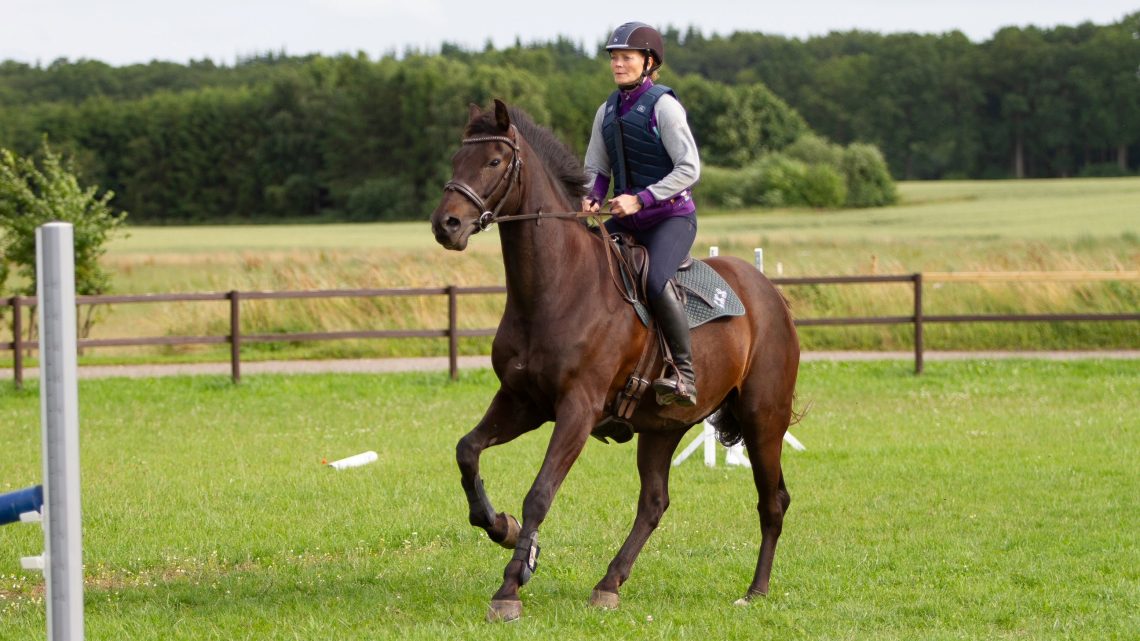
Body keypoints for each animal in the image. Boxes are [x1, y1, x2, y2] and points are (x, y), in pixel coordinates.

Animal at [428, 98, 802, 620]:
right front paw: (501, 527)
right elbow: (467, 451)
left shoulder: (577, 410)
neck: (556, 288)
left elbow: (540, 493)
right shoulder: (522, 402)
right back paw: (609, 583)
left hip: (763, 419)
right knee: (654, 503)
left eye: (494, 161)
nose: (447, 225)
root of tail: (770, 294)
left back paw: (755, 591)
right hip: (663, 429)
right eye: (457, 160)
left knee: (772, 502)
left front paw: (511, 585)